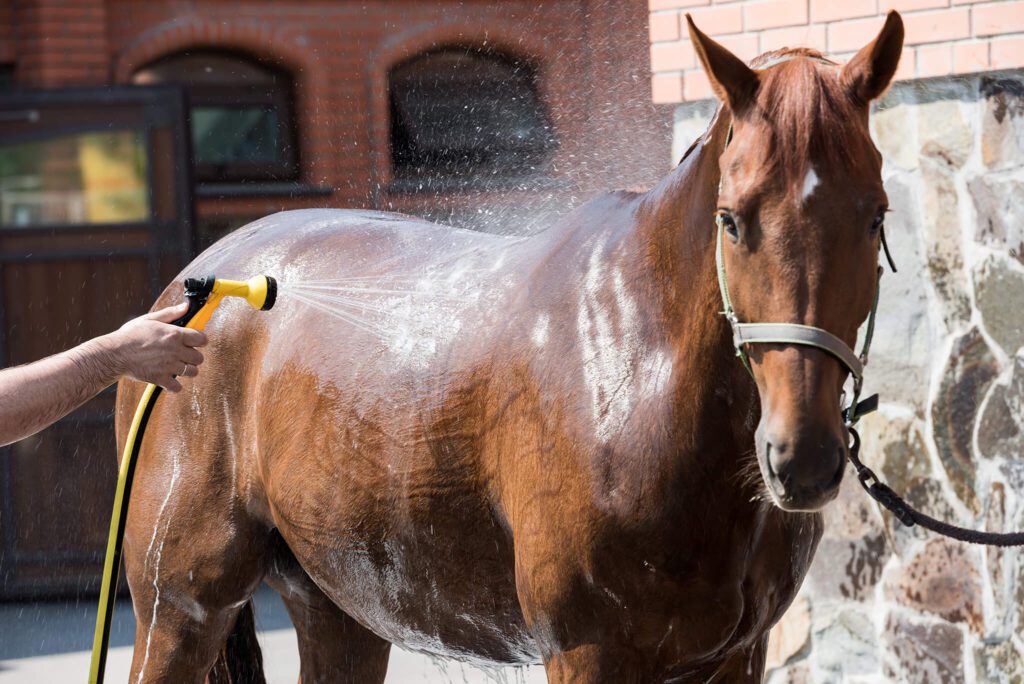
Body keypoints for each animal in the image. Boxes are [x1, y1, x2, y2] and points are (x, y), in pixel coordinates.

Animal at [115, 12, 904, 683]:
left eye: (875, 216)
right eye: (732, 220)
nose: (802, 458)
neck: (638, 374)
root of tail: (201, 284)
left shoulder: (739, 655)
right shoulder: (588, 652)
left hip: (338, 607)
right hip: (178, 608)